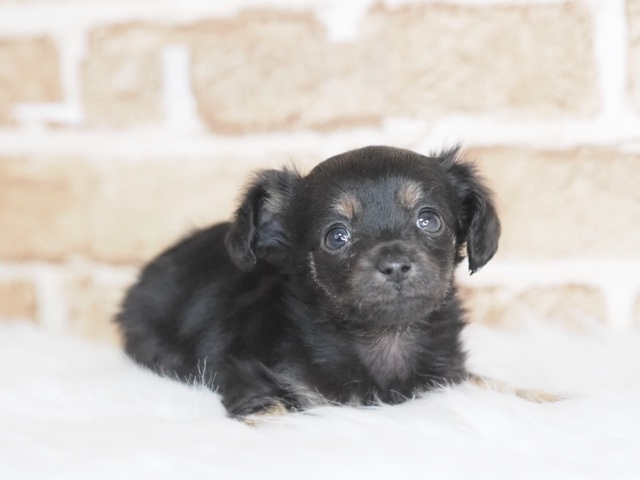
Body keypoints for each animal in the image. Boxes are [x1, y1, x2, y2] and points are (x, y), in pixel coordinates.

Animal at [116, 145, 550, 421]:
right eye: (336, 237)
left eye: (429, 220)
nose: (395, 264)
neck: (384, 337)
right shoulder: (247, 377)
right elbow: (274, 410)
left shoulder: (445, 376)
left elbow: (486, 381)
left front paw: (545, 396)